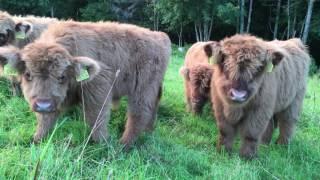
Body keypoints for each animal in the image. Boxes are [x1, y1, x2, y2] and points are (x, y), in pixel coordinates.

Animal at [0, 21, 170, 148]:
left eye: (61, 76)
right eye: (28, 74)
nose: (43, 105)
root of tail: (159, 36)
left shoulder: (98, 89)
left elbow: (96, 118)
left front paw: (102, 144)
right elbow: (45, 120)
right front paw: (38, 139)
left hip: (143, 89)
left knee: (138, 114)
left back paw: (124, 145)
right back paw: (148, 132)